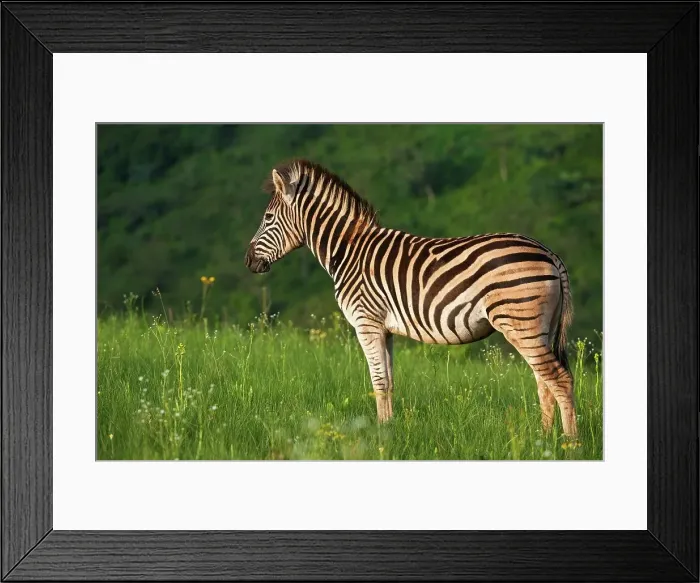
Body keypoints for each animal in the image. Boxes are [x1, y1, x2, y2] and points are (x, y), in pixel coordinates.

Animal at [245, 159, 578, 439]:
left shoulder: (366, 322)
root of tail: (549, 253)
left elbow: (378, 381)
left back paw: (570, 443)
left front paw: (380, 436)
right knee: (544, 380)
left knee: (558, 379)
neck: (349, 250)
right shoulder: (385, 328)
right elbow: (390, 381)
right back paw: (542, 440)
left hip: (520, 320)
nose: (248, 261)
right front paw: (389, 433)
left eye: (268, 217)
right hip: (540, 326)